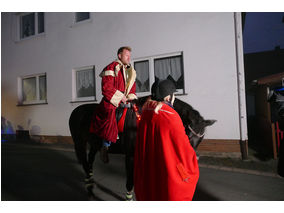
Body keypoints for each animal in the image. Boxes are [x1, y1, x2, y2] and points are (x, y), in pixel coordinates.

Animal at [68, 95, 215, 201]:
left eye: (201, 140)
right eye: (187, 135)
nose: (192, 160)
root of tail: (75, 111)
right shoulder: (130, 156)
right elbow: (130, 181)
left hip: (94, 144)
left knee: (90, 162)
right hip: (80, 143)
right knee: (85, 163)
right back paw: (89, 188)